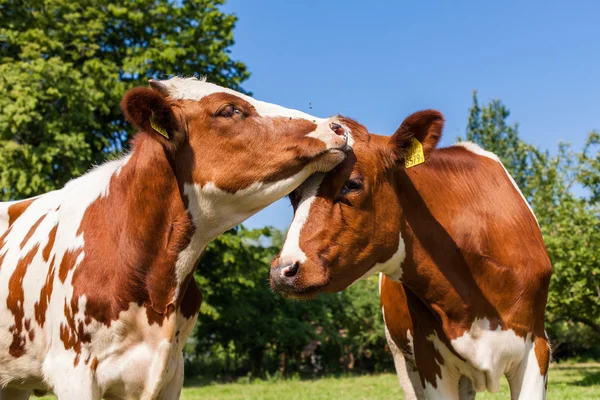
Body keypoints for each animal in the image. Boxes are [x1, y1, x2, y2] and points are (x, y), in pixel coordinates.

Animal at [272, 110, 552, 400]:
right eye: (293, 195)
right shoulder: (429, 361)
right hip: (401, 358)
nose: (282, 271)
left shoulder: (537, 349)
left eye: (352, 184)